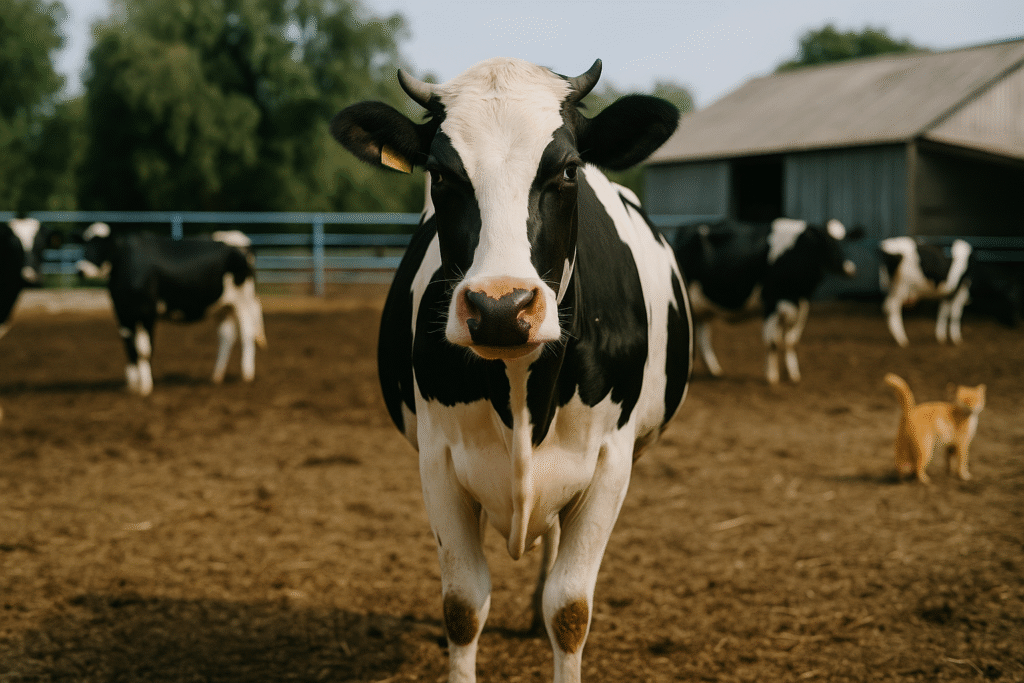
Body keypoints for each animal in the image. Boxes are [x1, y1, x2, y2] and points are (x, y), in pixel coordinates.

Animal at [76, 222, 267, 396]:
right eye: (84, 244)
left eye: (103, 245)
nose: (81, 270)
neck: (125, 262)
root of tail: (240, 239)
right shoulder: (123, 314)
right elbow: (130, 348)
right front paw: (132, 385)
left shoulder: (147, 313)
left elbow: (144, 349)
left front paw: (146, 386)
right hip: (223, 306)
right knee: (226, 336)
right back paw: (216, 376)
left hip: (242, 301)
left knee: (247, 333)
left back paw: (246, 374)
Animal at [330, 57, 691, 682]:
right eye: (440, 174)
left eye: (568, 169)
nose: (500, 307)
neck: (522, 395)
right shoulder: (439, 459)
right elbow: (462, 606)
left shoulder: (611, 462)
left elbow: (569, 610)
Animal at [674, 217, 857, 384]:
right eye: (826, 243)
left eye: (842, 242)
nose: (849, 269)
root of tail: (685, 228)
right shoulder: (771, 302)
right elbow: (773, 342)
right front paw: (771, 376)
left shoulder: (801, 307)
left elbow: (790, 342)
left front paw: (793, 374)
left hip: (704, 309)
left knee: (703, 339)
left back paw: (715, 371)